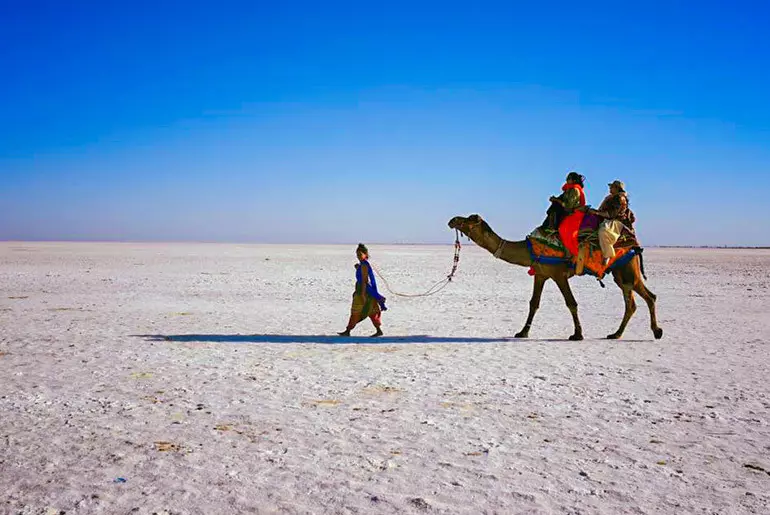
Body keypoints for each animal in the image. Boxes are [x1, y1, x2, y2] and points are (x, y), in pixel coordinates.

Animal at [448, 215, 664, 342]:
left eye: (469, 219)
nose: (452, 220)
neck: (529, 249)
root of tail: (635, 245)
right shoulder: (541, 274)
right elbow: (534, 303)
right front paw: (523, 332)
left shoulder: (558, 274)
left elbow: (571, 303)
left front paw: (577, 334)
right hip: (621, 272)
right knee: (632, 302)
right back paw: (616, 334)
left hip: (627, 269)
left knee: (648, 296)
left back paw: (656, 331)